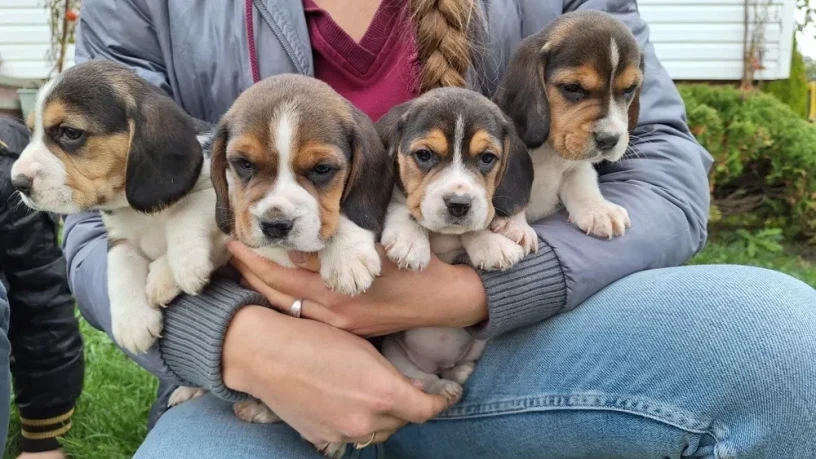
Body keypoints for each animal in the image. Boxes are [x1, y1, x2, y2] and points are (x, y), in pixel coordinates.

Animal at [11, 60, 230, 360]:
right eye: (32, 132)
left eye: (70, 133)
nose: (17, 182)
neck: (138, 211)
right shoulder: (119, 238)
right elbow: (120, 268)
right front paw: (132, 322)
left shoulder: (223, 194)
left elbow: (185, 211)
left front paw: (183, 266)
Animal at [374, 89, 536, 406]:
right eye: (424, 155)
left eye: (487, 158)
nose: (458, 205)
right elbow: (401, 206)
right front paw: (409, 241)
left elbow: (477, 224)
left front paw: (492, 243)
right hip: (394, 353)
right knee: (423, 378)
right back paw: (442, 387)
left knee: (455, 366)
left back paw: (460, 372)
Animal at [490, 9, 644, 241]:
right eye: (572, 87)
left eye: (629, 89)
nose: (609, 140)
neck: (548, 152)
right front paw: (514, 226)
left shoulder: (576, 167)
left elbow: (583, 182)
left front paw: (599, 210)